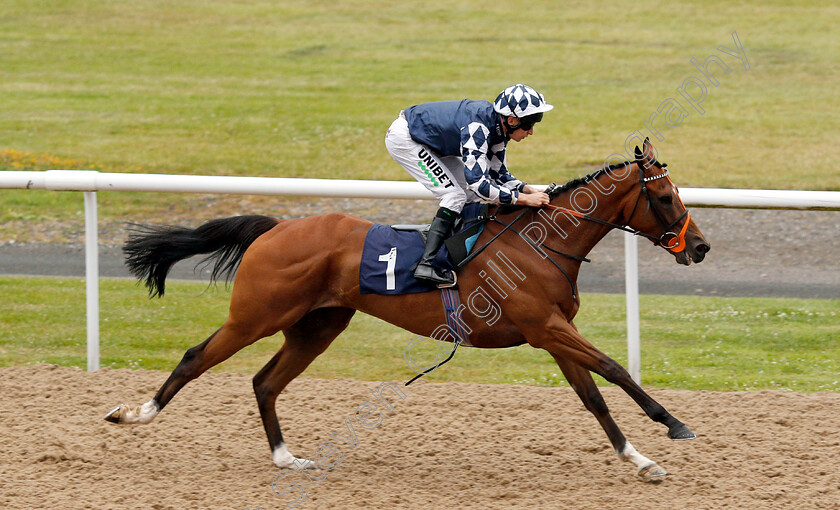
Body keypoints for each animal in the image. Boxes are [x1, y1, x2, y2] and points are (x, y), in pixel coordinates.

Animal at [105, 137, 708, 480]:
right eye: (665, 198)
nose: (700, 247)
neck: (538, 243)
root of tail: (276, 227)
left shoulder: (553, 332)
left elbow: (593, 397)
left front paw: (639, 459)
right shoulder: (546, 327)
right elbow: (614, 368)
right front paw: (674, 425)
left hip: (317, 325)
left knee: (265, 382)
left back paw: (286, 458)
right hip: (257, 314)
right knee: (196, 357)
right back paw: (133, 414)